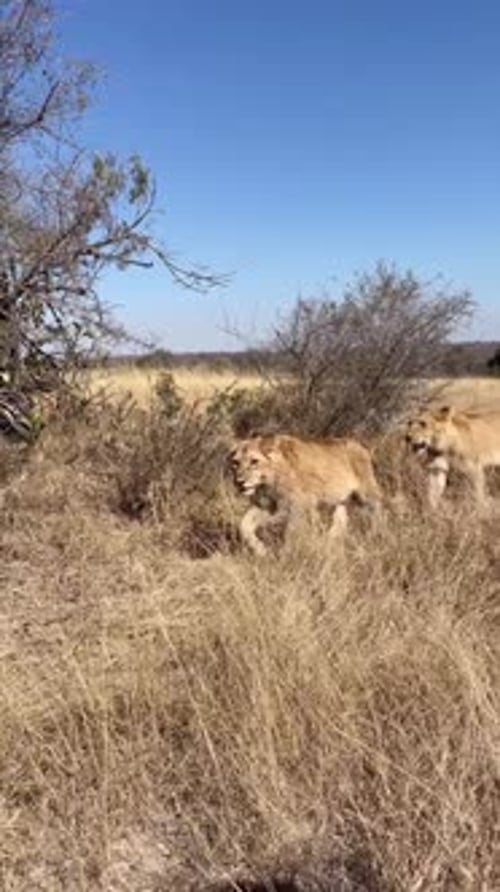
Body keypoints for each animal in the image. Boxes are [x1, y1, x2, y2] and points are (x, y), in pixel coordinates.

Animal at [229, 433, 382, 555]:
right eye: (235, 463)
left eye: (254, 461)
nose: (239, 482)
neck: (267, 482)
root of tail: (360, 445)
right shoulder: (268, 505)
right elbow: (244, 524)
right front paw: (261, 550)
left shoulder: (298, 505)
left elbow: (292, 531)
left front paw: (287, 556)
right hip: (339, 500)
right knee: (341, 521)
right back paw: (329, 544)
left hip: (366, 493)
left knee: (377, 511)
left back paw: (376, 535)